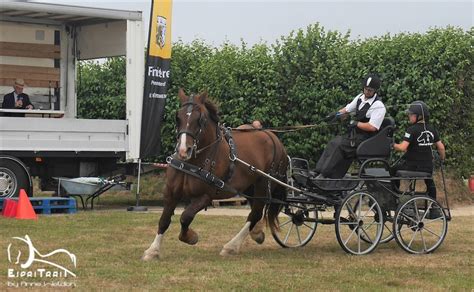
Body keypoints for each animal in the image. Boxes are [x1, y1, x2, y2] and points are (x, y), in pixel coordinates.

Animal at [143, 89, 286, 260]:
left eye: (200, 119)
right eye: (178, 117)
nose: (184, 150)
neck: (193, 162)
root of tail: (272, 137)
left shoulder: (205, 196)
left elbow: (185, 216)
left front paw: (190, 237)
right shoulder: (171, 193)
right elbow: (164, 220)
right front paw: (153, 250)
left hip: (263, 184)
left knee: (256, 212)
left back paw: (231, 246)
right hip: (249, 186)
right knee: (255, 210)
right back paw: (256, 232)